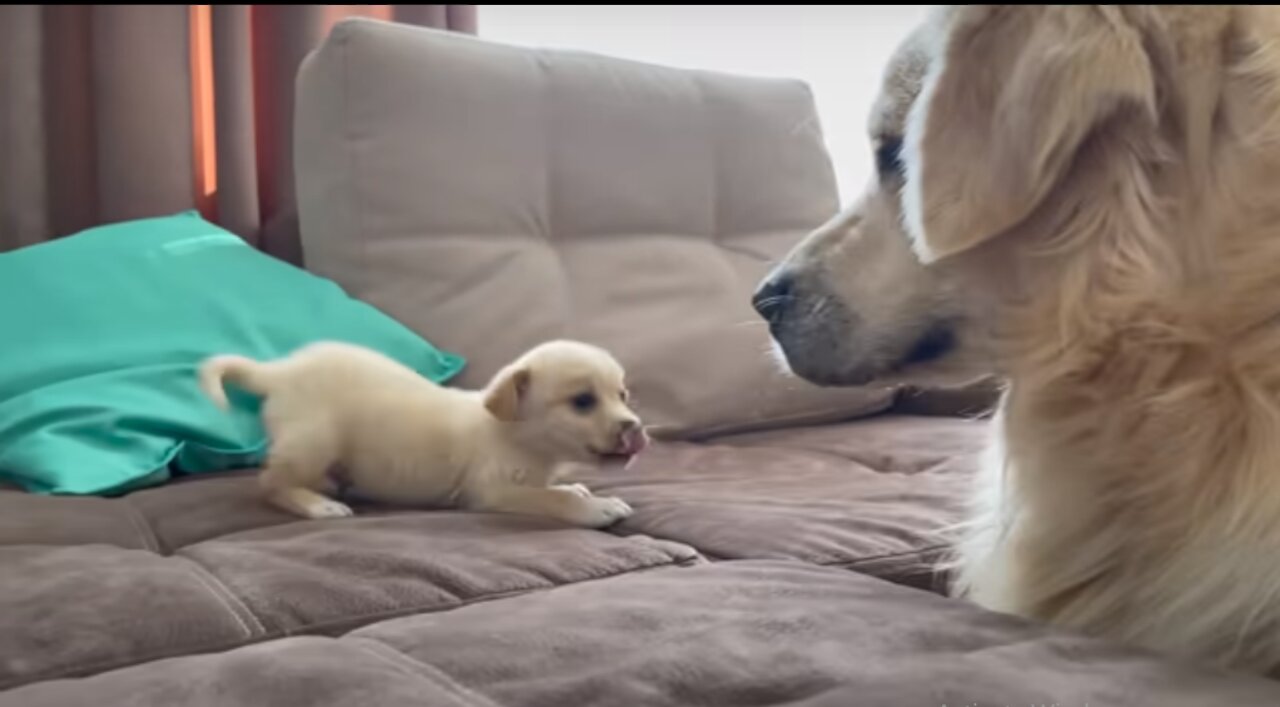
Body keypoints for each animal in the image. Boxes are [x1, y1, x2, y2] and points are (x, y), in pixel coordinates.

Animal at [197, 340, 650, 527]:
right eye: (583, 401)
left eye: (623, 395)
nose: (635, 428)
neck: (513, 432)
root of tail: (281, 371)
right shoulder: (491, 489)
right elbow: (550, 498)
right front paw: (595, 507)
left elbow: (556, 489)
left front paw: (577, 489)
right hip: (316, 437)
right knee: (271, 482)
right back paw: (317, 504)